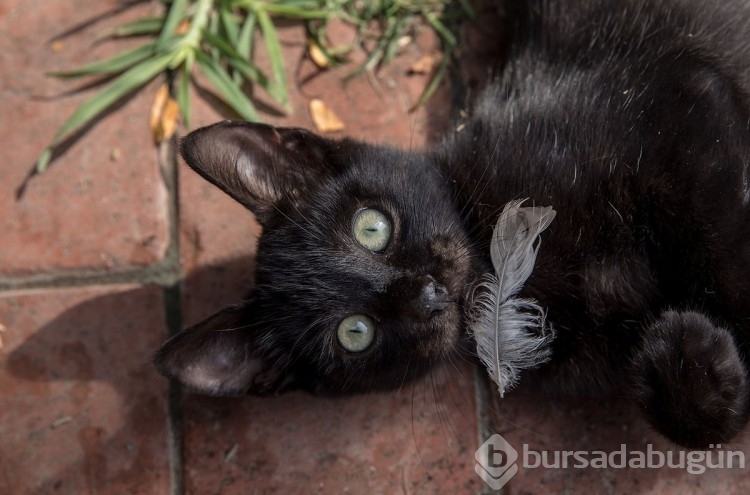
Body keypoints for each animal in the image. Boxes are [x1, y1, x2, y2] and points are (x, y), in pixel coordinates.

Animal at [156, 0, 750, 450]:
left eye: (371, 228)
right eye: (355, 333)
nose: (429, 292)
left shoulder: (681, 101)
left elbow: (728, 252)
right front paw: (692, 358)